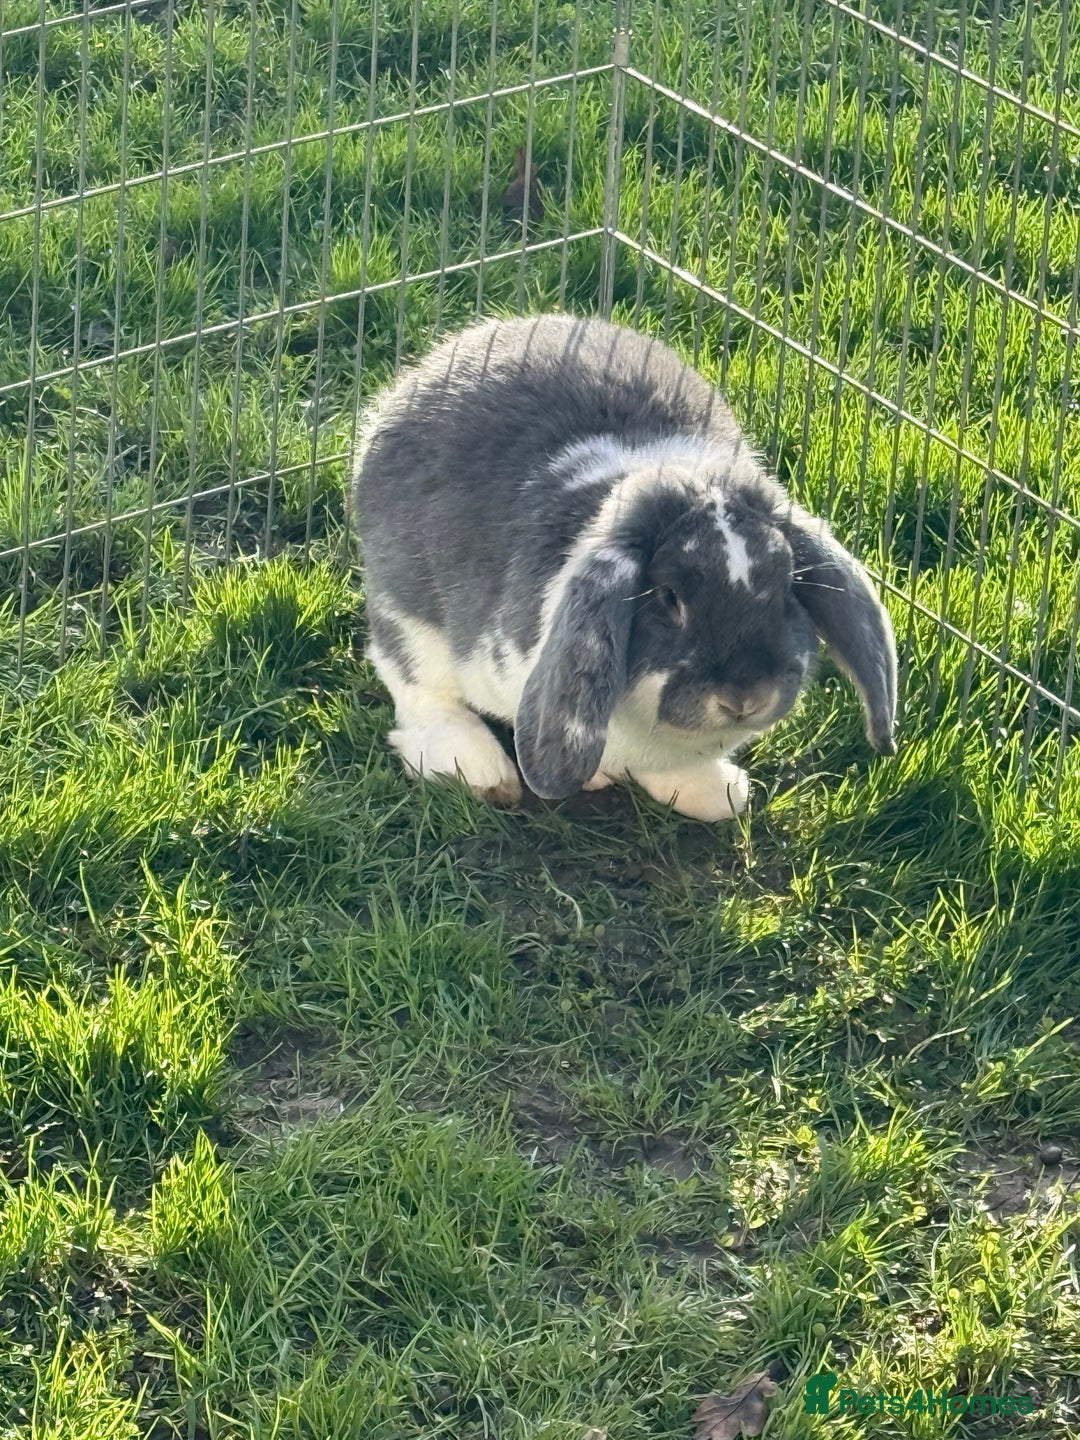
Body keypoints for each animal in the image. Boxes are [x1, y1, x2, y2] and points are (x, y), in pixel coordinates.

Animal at [351, 313, 897, 821]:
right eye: (670, 599)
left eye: (787, 586)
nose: (745, 697)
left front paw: (718, 793)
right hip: (408, 612)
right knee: (418, 687)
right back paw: (477, 767)